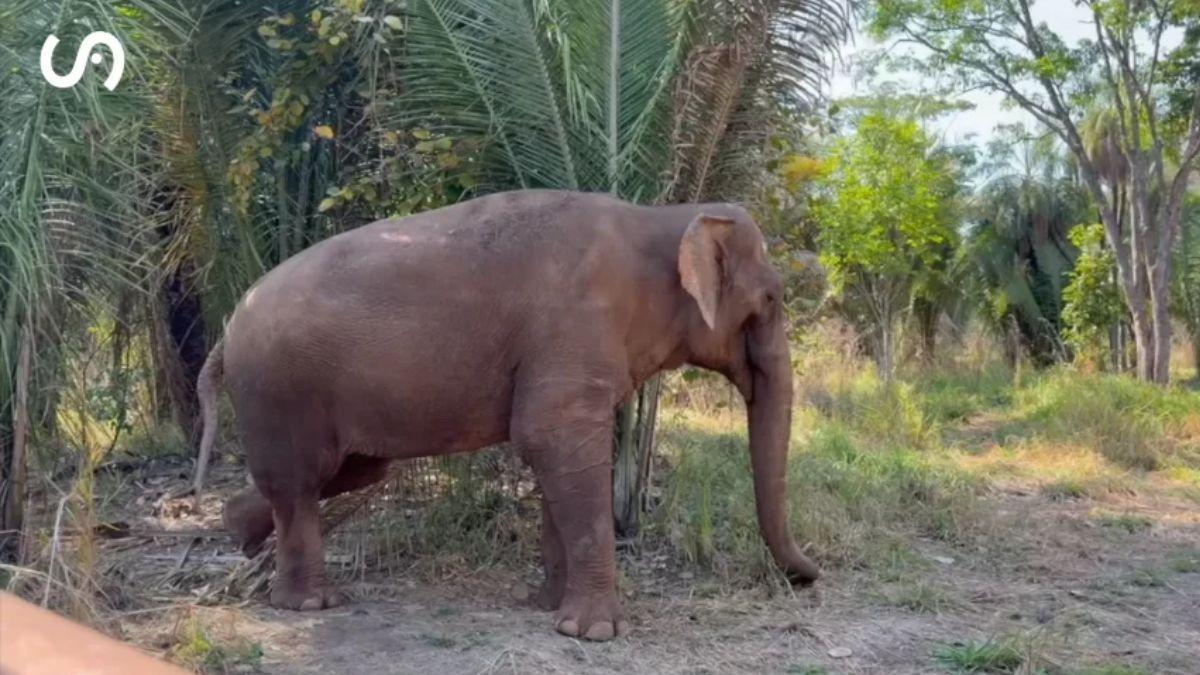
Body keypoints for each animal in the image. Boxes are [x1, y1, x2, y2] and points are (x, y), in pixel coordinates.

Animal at [194, 189, 819, 641]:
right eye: (772, 300)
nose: (810, 577)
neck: (663, 218)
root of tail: (224, 332)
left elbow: (557, 456)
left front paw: (547, 608)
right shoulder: (574, 326)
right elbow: (551, 438)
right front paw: (594, 633)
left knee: (343, 472)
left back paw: (239, 533)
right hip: (281, 390)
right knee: (302, 480)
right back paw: (308, 603)